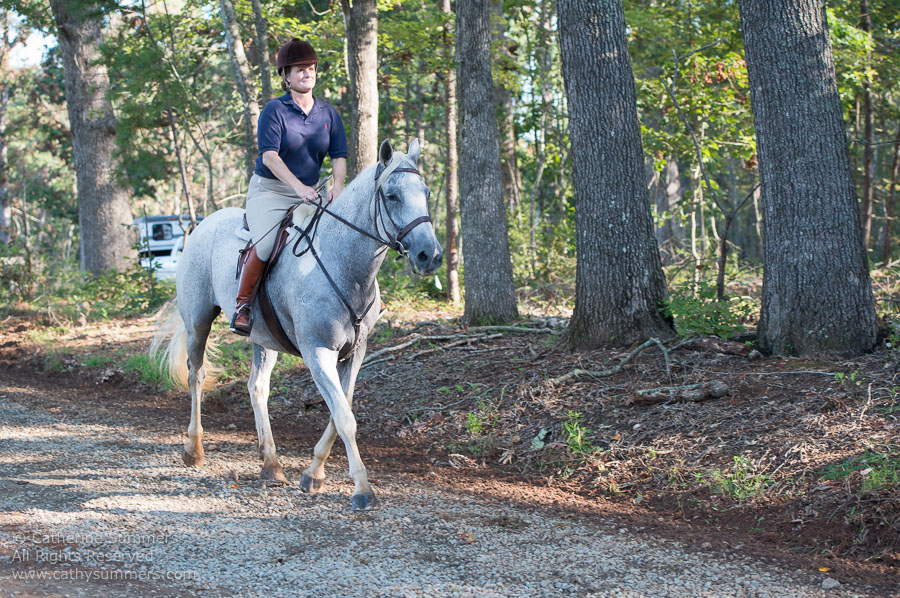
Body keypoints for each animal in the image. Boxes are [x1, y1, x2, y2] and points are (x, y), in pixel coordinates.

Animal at [155, 139, 442, 510]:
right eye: (391, 196)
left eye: (427, 192)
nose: (429, 255)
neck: (343, 263)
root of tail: (203, 224)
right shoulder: (317, 351)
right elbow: (344, 417)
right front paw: (362, 489)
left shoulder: (355, 353)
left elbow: (340, 410)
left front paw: (314, 473)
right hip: (198, 321)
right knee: (197, 377)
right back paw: (193, 449)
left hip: (262, 339)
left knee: (257, 388)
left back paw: (271, 464)